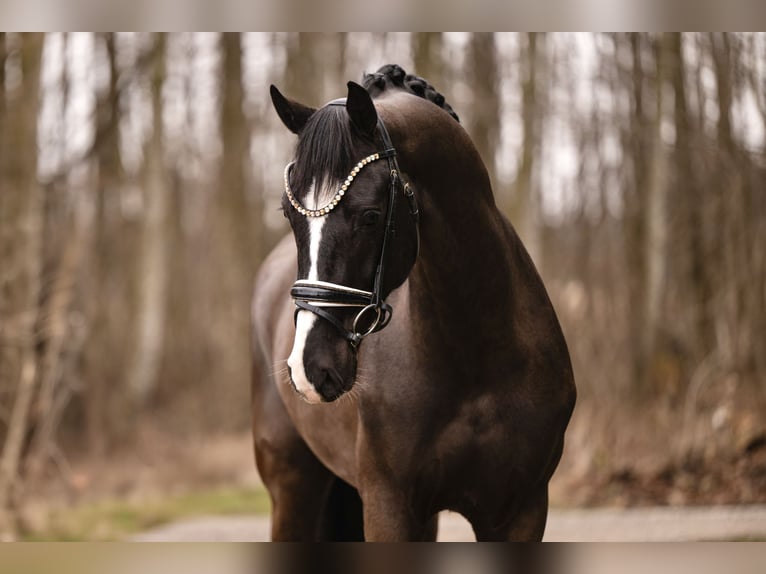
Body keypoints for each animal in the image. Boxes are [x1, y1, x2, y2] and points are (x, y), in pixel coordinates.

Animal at [251, 68, 576, 541]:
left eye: (370, 215)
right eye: (290, 215)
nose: (308, 368)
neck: (475, 356)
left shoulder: (522, 511)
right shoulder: (389, 507)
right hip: (292, 487)